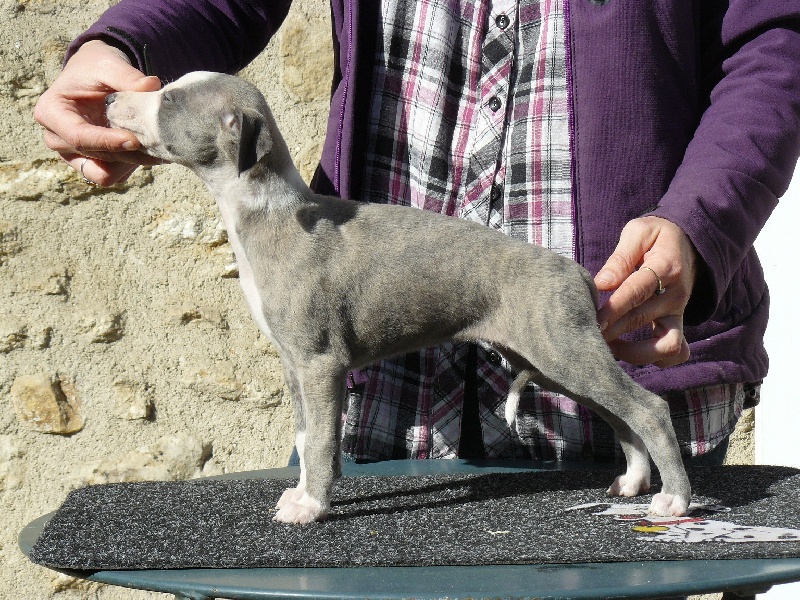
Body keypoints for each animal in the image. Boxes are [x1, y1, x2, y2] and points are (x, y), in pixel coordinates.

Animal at [106, 71, 692, 525]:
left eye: (171, 100)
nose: (110, 100)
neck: (273, 213)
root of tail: (579, 273)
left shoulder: (321, 363)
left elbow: (321, 441)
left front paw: (311, 506)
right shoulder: (294, 365)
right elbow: (305, 434)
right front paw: (301, 493)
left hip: (561, 348)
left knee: (649, 408)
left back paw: (674, 500)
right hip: (551, 359)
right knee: (621, 414)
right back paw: (633, 481)